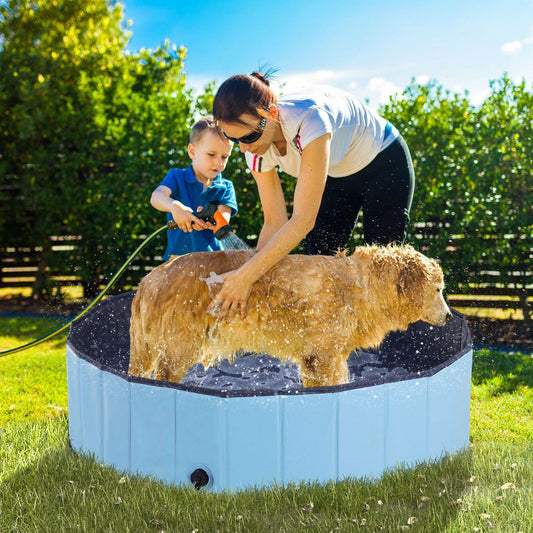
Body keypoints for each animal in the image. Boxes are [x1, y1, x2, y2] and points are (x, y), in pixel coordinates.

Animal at [128, 244, 448, 386]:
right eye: (438, 290)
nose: (448, 316)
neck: (360, 286)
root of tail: (148, 279)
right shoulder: (324, 356)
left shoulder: (322, 357)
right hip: (178, 347)